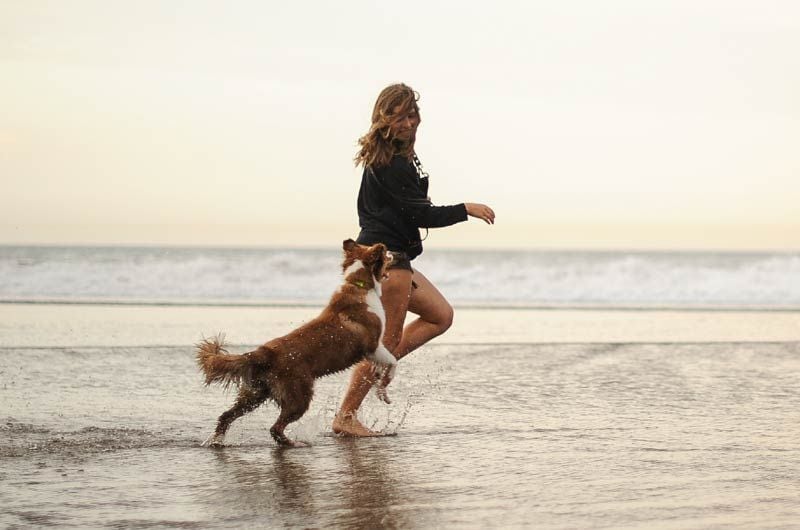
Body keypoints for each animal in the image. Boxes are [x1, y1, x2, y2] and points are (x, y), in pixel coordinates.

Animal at [194, 239, 394, 446]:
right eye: (385, 253)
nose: (395, 254)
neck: (359, 284)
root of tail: (264, 352)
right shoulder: (373, 345)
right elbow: (392, 360)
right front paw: (384, 385)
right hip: (299, 396)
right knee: (275, 428)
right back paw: (293, 443)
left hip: (255, 393)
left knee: (226, 415)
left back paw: (217, 440)